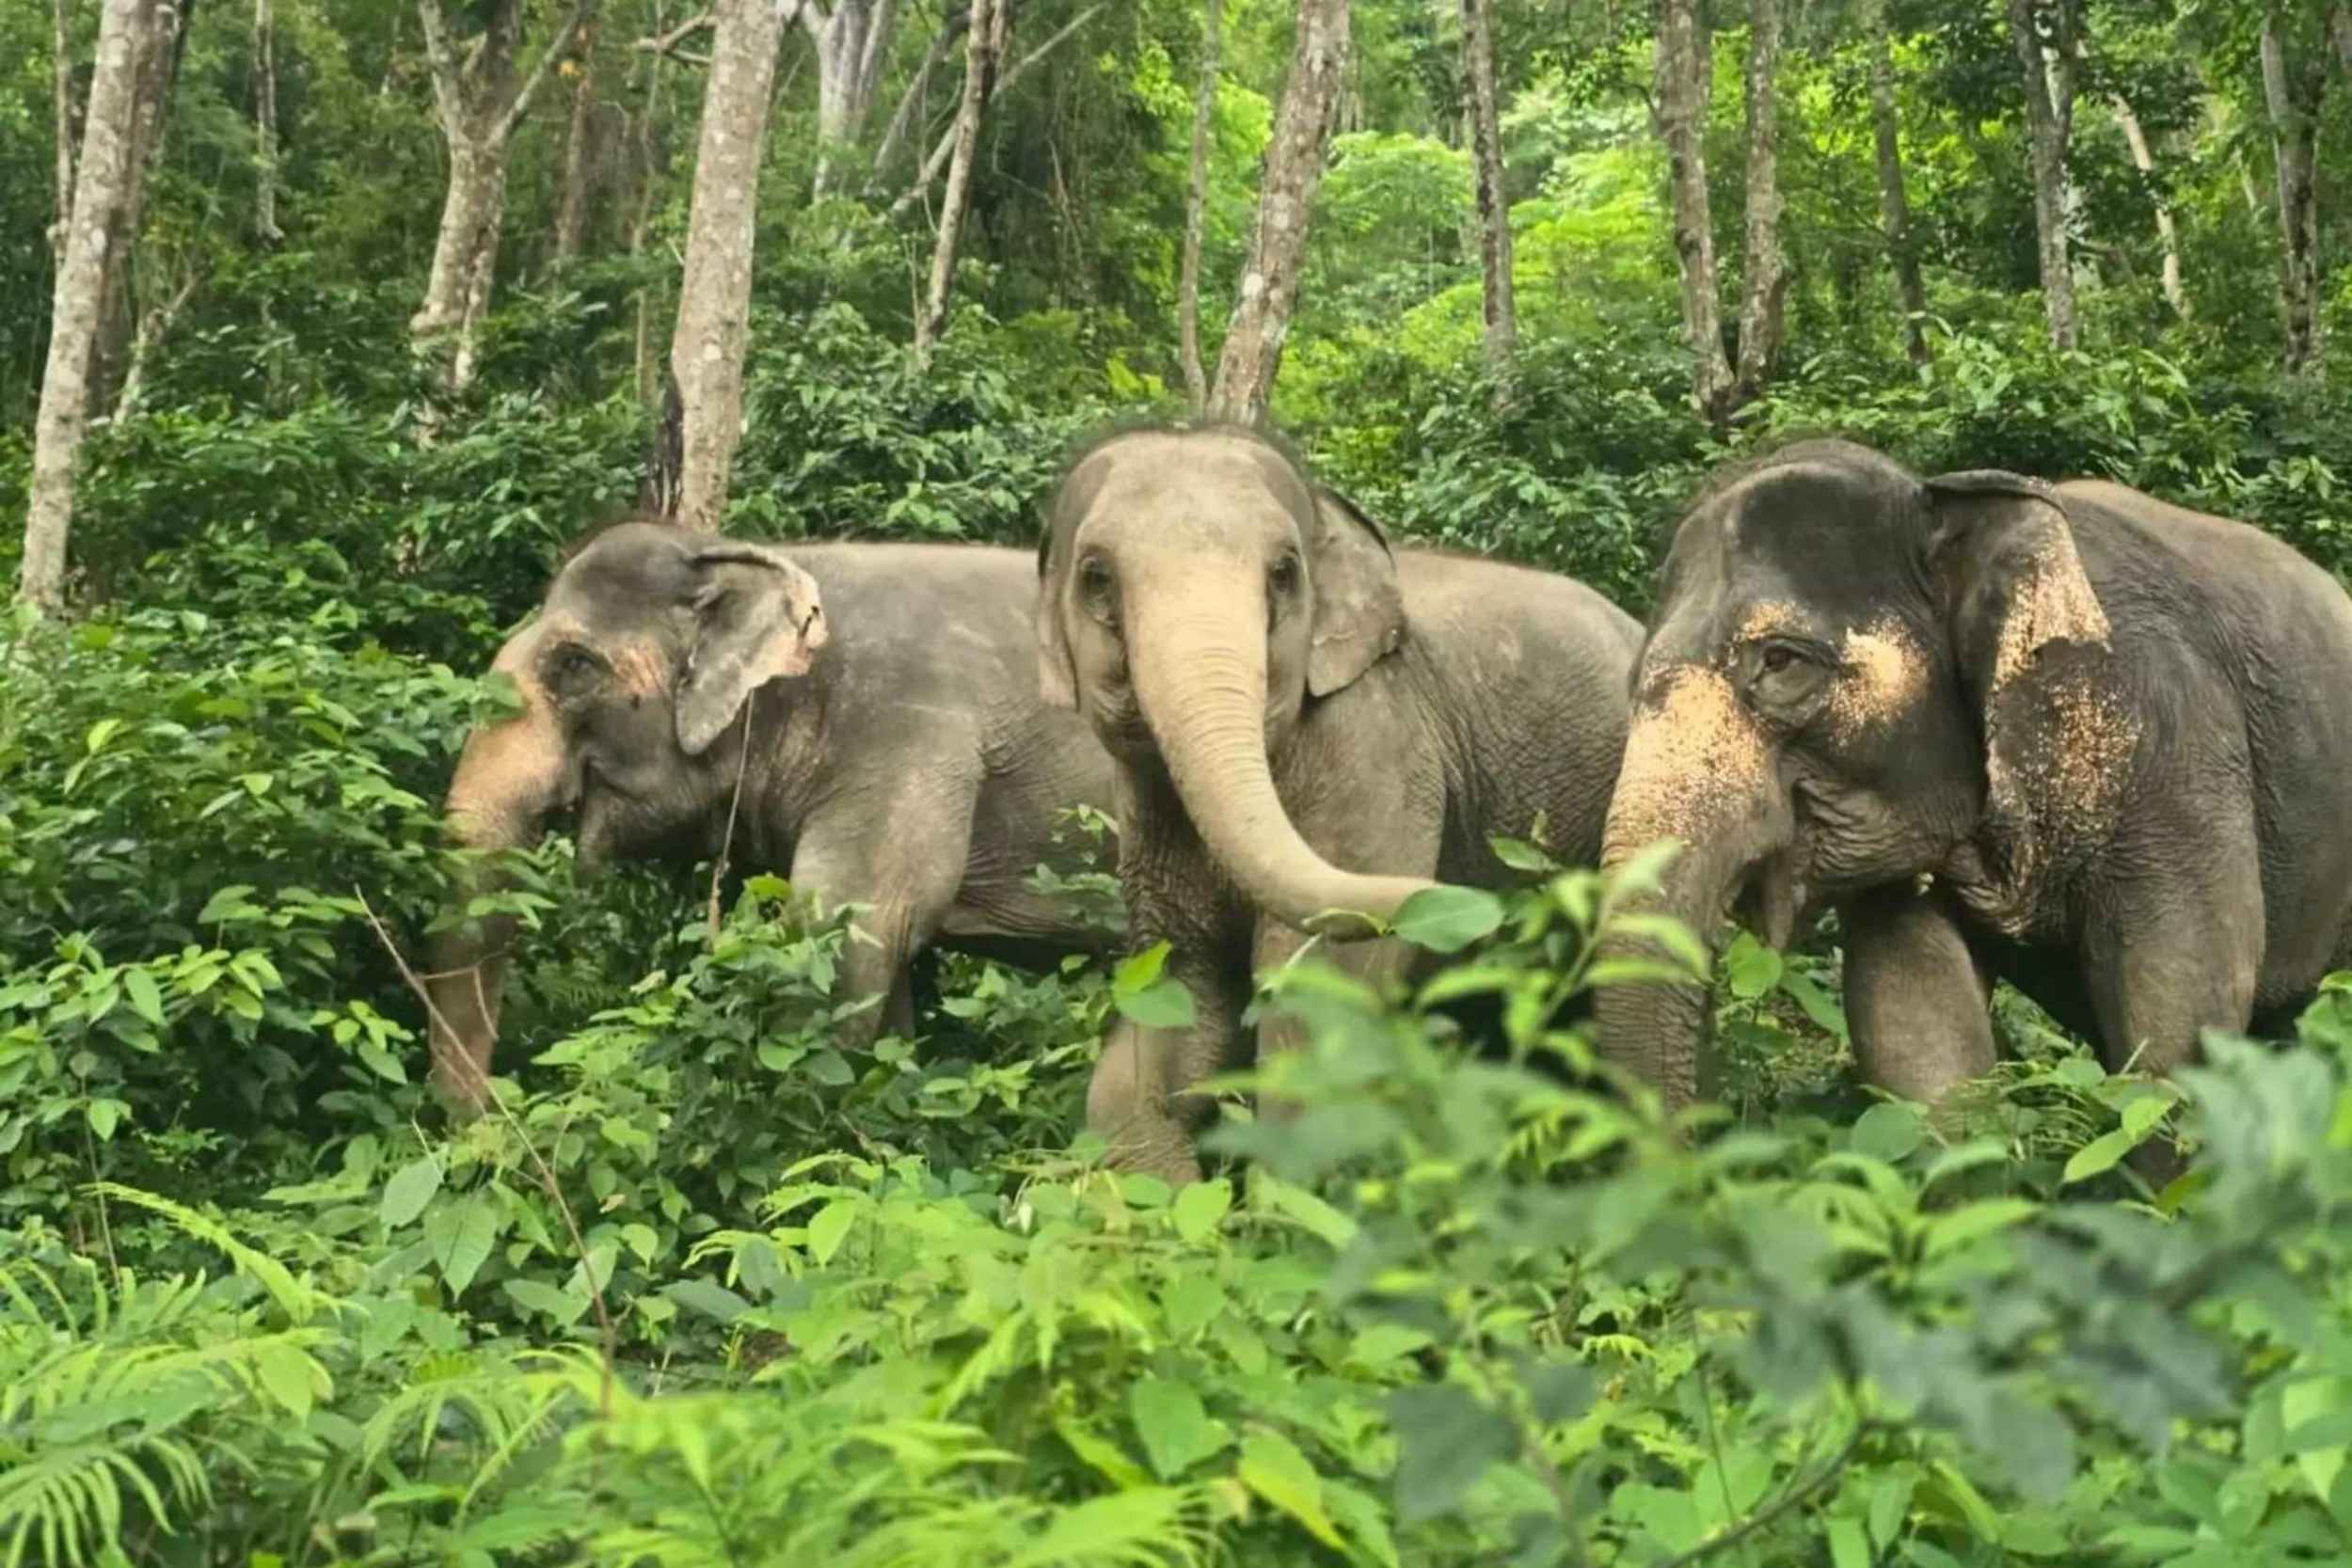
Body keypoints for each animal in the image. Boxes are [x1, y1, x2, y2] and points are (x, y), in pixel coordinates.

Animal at [1035, 425, 1644, 1182]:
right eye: (1096, 578)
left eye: (1283, 572)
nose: (1480, 902)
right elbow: (1179, 986)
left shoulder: (1376, 745)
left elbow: (1321, 989)